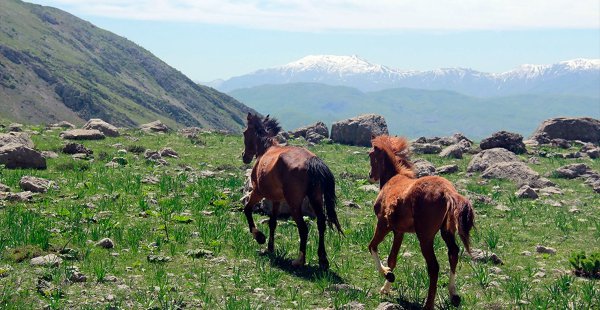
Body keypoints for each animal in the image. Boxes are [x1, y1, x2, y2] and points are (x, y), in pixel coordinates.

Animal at [240, 113, 342, 268]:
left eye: (245, 133)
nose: (244, 156)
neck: (266, 149)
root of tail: (312, 161)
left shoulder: (258, 192)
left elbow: (247, 209)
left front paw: (260, 237)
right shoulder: (276, 199)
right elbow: (273, 223)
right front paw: (270, 248)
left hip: (294, 203)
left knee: (303, 228)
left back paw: (299, 260)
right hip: (316, 198)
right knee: (321, 223)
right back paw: (323, 259)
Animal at [366, 136, 474, 310]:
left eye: (370, 155)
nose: (370, 175)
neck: (393, 179)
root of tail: (447, 192)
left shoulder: (383, 224)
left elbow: (372, 247)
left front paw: (388, 274)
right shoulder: (399, 231)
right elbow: (392, 258)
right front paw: (386, 288)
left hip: (425, 236)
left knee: (434, 266)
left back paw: (428, 304)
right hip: (446, 231)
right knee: (453, 253)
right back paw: (454, 295)